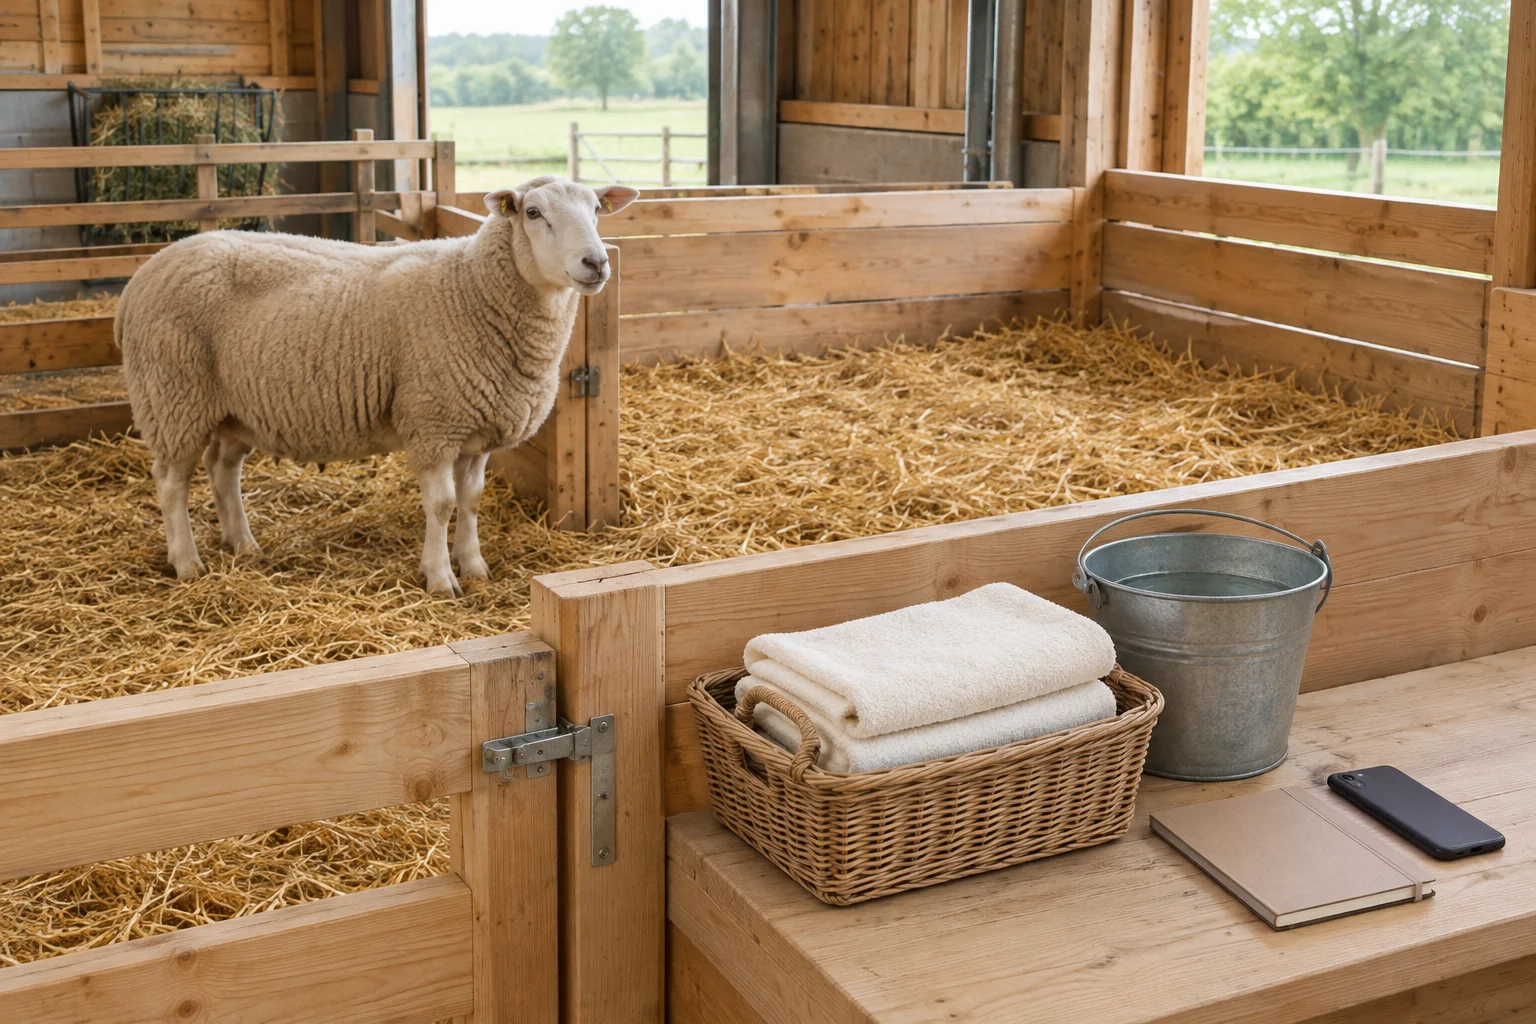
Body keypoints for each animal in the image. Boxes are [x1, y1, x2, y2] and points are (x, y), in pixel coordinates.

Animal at [116, 175, 639, 594]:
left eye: (597, 209)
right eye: (533, 213)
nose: (596, 263)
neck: (471, 287)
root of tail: (140, 277)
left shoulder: (476, 429)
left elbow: (470, 502)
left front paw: (474, 567)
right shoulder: (433, 423)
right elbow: (442, 505)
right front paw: (440, 578)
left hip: (233, 408)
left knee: (222, 469)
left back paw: (242, 544)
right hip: (173, 395)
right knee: (171, 482)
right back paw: (187, 563)